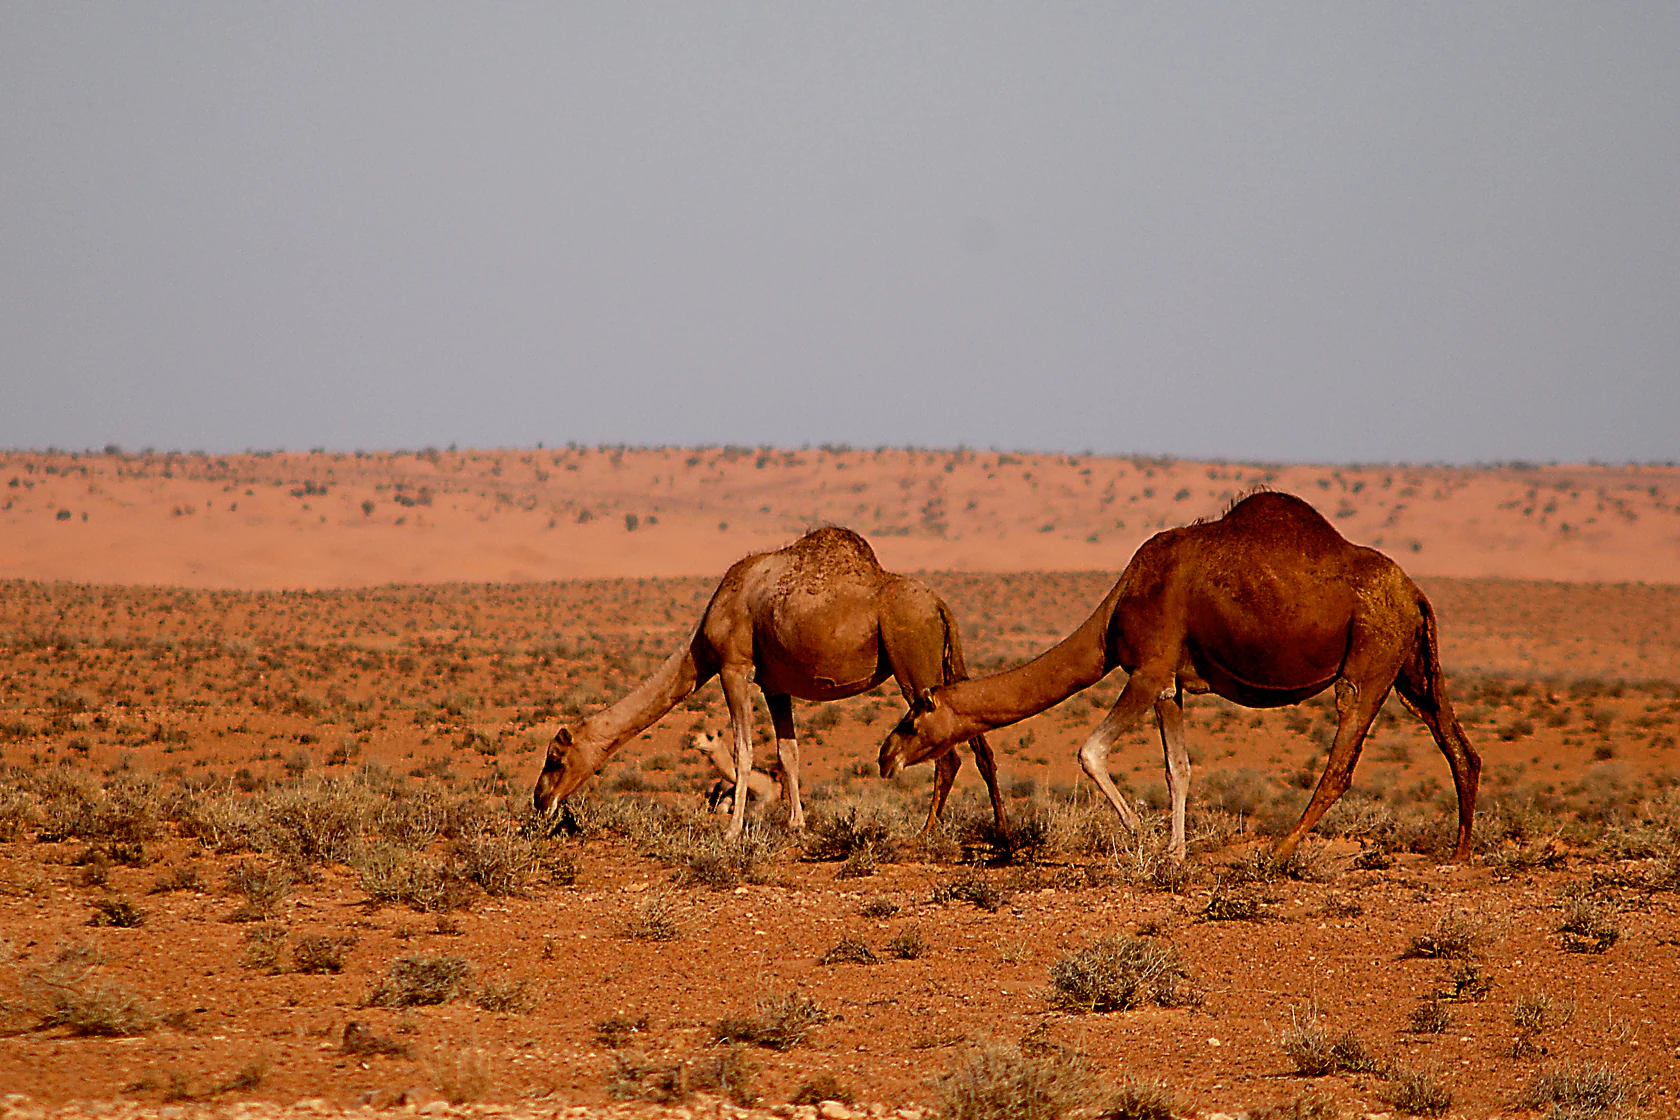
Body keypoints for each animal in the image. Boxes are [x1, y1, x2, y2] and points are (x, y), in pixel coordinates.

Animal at [532, 526, 1007, 839]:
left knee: (949, 756)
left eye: (555, 758)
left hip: (914, 661)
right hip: (947, 665)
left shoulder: (734, 667)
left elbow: (744, 751)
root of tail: (941, 605)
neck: (703, 638)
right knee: (982, 749)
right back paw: (1001, 829)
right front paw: (797, 823)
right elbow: (788, 752)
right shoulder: (774, 685)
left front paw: (732, 831)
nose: (539, 800)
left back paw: (926, 833)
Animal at [878, 491, 1480, 864]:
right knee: (1457, 744)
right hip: (1412, 664)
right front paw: (1175, 850)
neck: (1117, 607)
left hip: (1371, 653)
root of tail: (1415, 592)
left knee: (1342, 755)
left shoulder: (1147, 668)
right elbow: (1178, 769)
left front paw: (1142, 837)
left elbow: (1090, 751)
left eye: (912, 718)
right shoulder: (1171, 682)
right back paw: (1457, 854)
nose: (884, 757)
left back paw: (1280, 851)